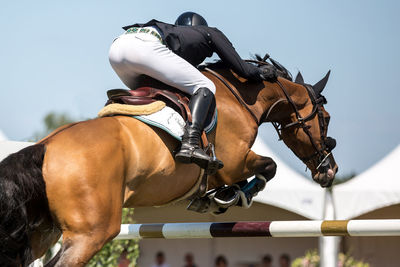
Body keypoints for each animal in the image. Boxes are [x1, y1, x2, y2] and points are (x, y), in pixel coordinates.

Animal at [0, 62, 338, 266]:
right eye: (325, 118)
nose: (330, 170)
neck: (240, 98)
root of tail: (44, 147)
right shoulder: (234, 162)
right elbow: (268, 167)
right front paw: (233, 196)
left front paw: (215, 197)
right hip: (91, 234)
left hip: (45, 233)